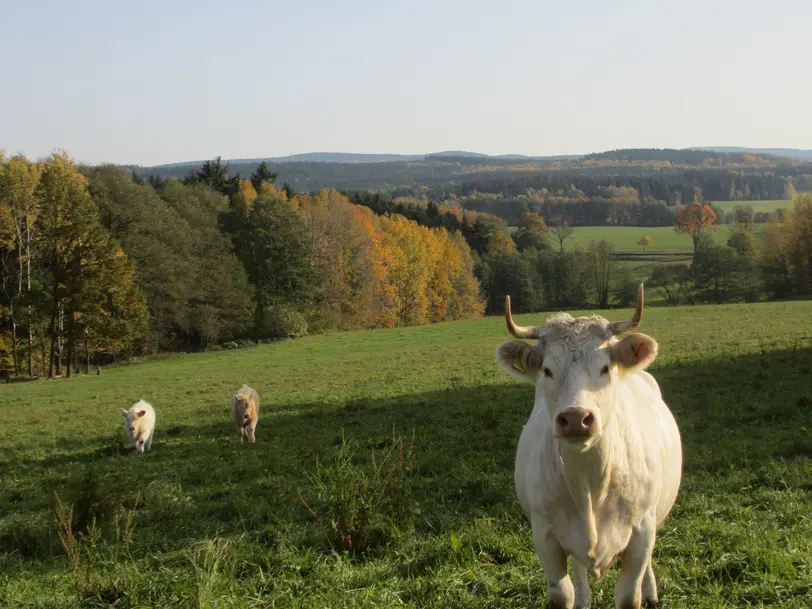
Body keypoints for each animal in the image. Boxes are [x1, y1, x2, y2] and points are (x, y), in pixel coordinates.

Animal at [498, 286, 680, 608]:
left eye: (605, 368)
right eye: (547, 370)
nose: (574, 418)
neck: (588, 480)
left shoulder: (642, 531)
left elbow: (629, 594)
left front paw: (643, 591)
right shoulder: (544, 535)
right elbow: (562, 594)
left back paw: (651, 591)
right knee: (580, 568)